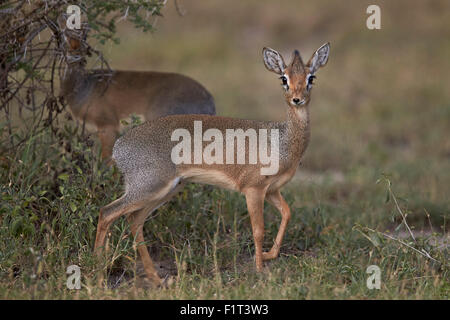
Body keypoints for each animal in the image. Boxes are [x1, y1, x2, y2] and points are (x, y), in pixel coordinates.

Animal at [95, 42, 332, 284]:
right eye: (284, 78)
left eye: (311, 77)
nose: (297, 99)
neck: (281, 141)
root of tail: (119, 147)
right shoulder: (253, 189)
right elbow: (258, 229)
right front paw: (259, 269)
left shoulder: (272, 190)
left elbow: (287, 212)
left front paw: (269, 255)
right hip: (149, 187)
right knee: (107, 213)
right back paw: (97, 273)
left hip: (165, 190)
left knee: (134, 220)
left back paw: (155, 277)